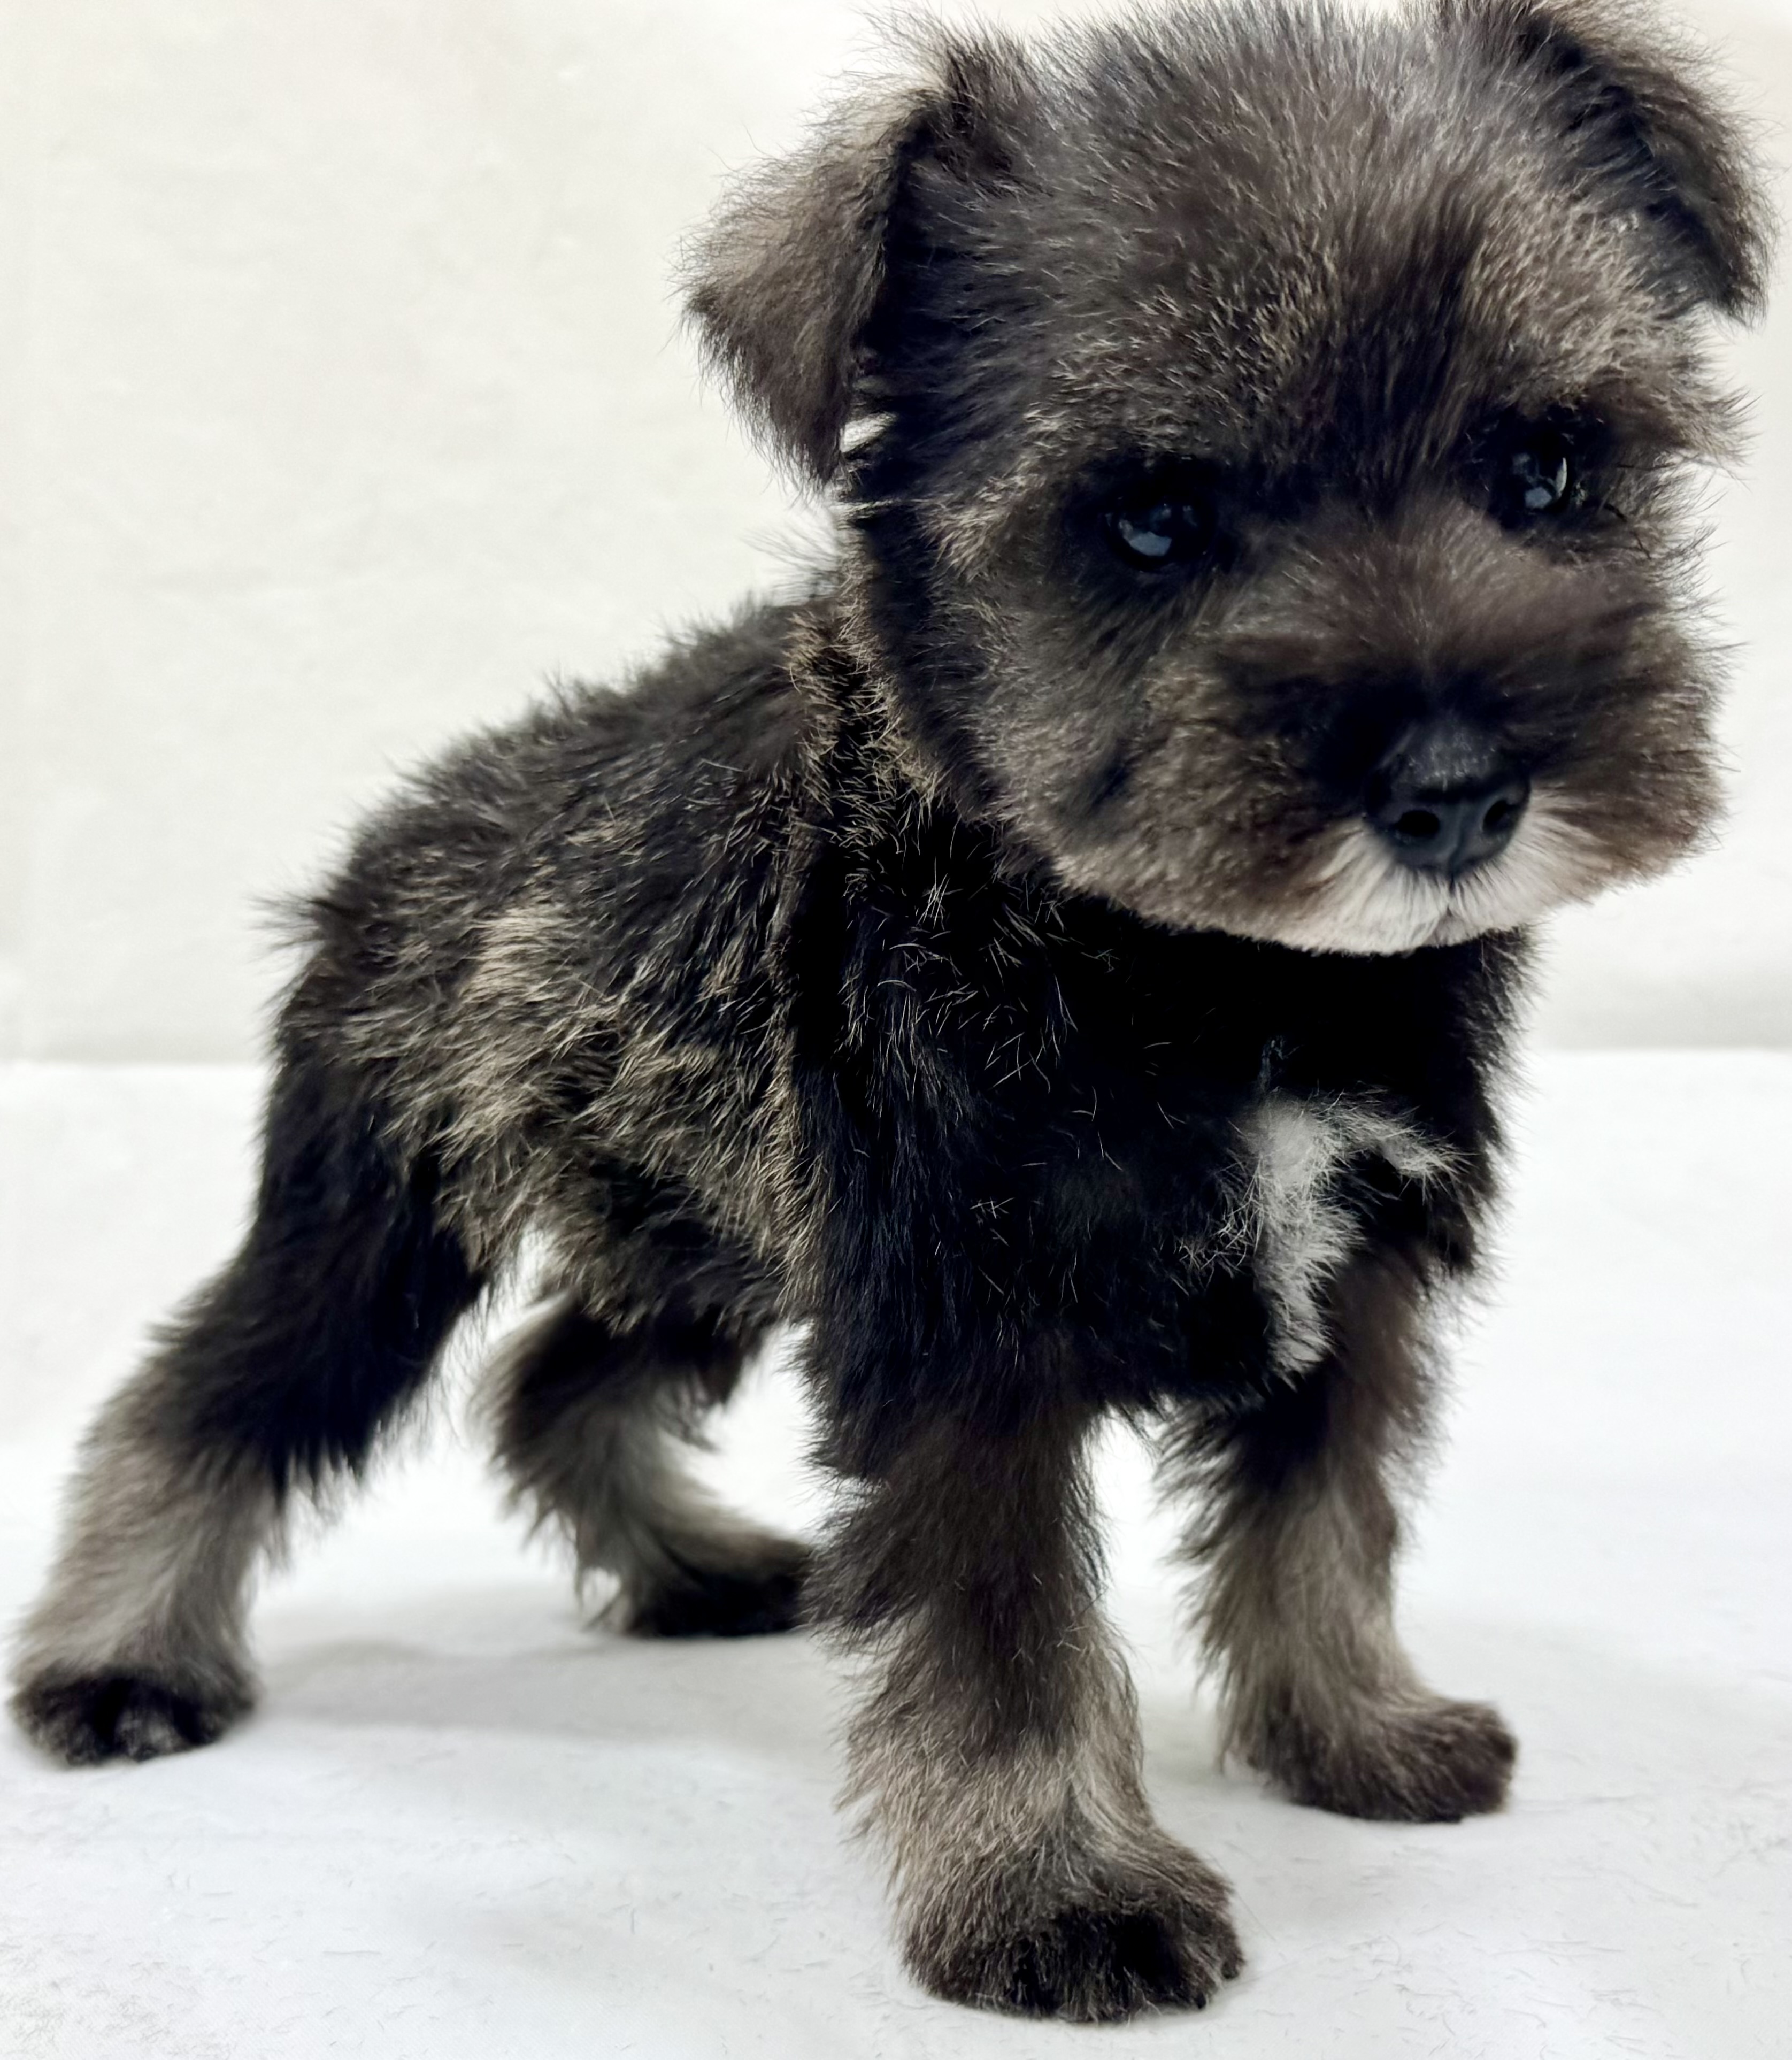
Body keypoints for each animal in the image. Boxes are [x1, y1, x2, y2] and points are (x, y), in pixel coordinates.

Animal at [10, 0, 1768, 2023]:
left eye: (1546, 466)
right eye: (1150, 519)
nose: (1456, 791)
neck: (1208, 967)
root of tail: (414, 819)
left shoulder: (1355, 1275)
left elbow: (1323, 1529)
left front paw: (1355, 1732)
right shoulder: (962, 1331)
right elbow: (1008, 1645)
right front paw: (1058, 1895)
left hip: (689, 1231)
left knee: (560, 1381)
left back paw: (693, 1567)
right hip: (376, 1223)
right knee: (211, 1398)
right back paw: (117, 1663)